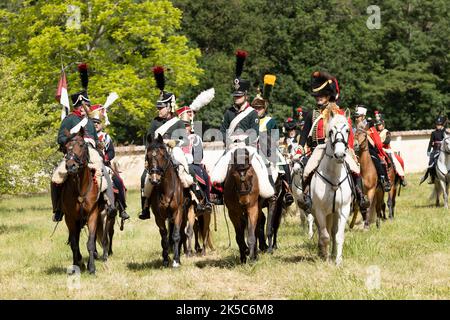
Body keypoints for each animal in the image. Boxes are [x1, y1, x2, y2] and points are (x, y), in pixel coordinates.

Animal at [61, 129, 104, 274]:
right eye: (65, 147)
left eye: (81, 145)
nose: (71, 166)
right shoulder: (70, 218)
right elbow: (74, 244)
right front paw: (76, 265)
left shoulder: (93, 215)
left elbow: (90, 242)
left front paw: (92, 268)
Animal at [145, 135, 185, 268]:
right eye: (147, 156)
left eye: (162, 155)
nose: (154, 179)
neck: (166, 190)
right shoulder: (159, 217)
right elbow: (164, 238)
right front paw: (166, 260)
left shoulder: (178, 213)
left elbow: (176, 235)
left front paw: (176, 260)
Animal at [312, 114, 354, 266]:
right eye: (331, 131)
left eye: (347, 130)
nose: (340, 155)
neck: (334, 177)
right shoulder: (319, 211)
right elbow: (325, 236)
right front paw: (326, 259)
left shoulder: (343, 210)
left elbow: (338, 235)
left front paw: (338, 260)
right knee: (324, 232)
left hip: (334, 213)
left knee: (333, 231)